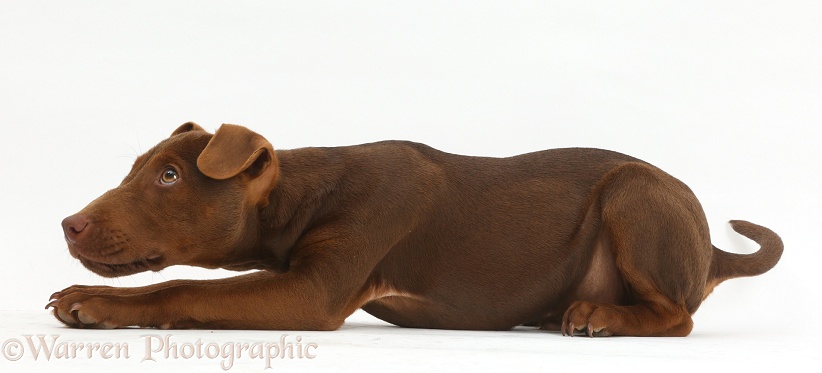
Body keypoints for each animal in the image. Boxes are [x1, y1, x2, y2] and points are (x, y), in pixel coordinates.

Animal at [46, 123, 784, 336]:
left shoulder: (312, 292)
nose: (68, 225)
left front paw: (95, 303)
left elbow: (182, 291)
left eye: (170, 176)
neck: (307, 193)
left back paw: (600, 316)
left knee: (676, 315)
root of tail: (710, 250)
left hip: (635, 195)